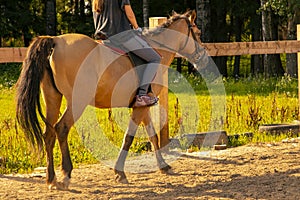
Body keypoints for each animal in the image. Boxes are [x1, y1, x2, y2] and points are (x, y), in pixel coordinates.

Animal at [15, 10, 204, 189]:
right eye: (198, 33)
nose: (201, 58)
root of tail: (56, 41)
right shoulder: (140, 107)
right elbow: (128, 138)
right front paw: (120, 173)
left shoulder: (144, 106)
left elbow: (152, 136)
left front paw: (163, 166)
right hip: (77, 101)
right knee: (62, 128)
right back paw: (66, 175)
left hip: (52, 98)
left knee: (49, 134)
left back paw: (51, 179)